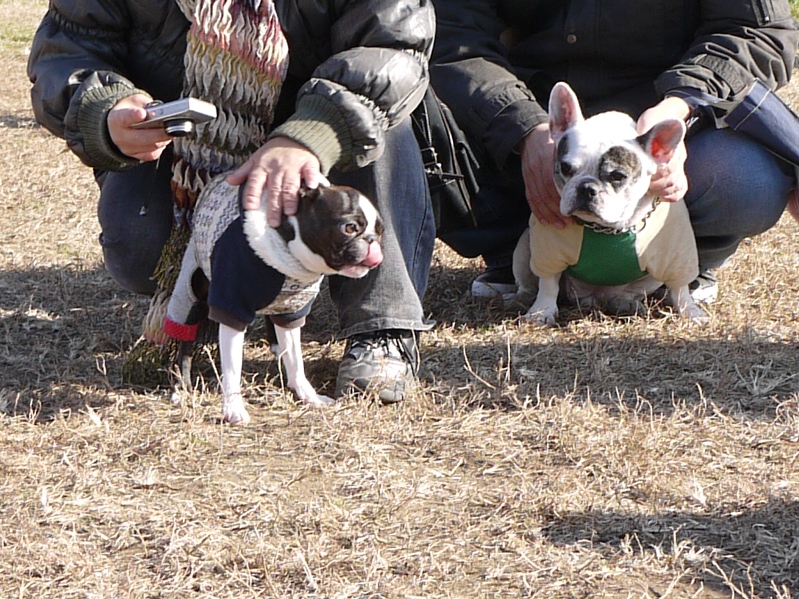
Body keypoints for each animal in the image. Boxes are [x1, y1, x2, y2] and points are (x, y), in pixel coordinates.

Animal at [512, 82, 708, 326]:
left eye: (617, 176)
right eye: (565, 168)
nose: (586, 188)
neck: (606, 228)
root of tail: (596, 298)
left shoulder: (675, 253)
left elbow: (680, 286)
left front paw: (690, 310)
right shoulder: (548, 250)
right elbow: (548, 282)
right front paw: (542, 311)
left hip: (649, 279)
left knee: (631, 293)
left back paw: (627, 304)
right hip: (523, 249)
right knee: (529, 282)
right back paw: (520, 298)